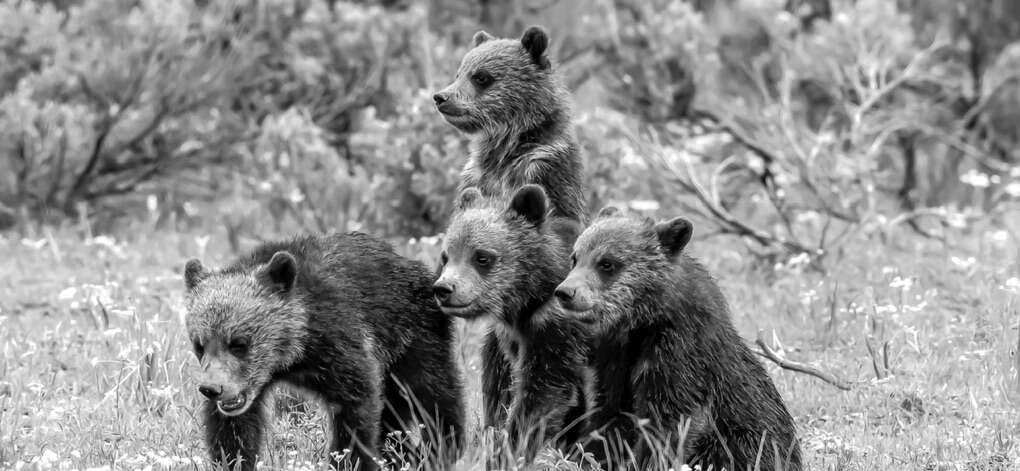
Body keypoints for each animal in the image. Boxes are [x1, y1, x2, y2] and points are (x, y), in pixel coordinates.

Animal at [183, 233, 465, 471]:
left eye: (239, 342)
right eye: (199, 344)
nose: (212, 389)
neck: (294, 353)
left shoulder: (343, 345)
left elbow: (355, 410)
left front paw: (350, 460)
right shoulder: (249, 388)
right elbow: (234, 431)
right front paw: (232, 459)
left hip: (413, 332)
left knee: (432, 391)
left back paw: (442, 448)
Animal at [431, 184, 592, 464]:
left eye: (482, 257)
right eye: (446, 255)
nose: (444, 288)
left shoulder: (556, 327)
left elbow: (543, 393)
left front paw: (509, 450)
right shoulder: (516, 337)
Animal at [555, 208, 802, 471]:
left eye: (606, 262)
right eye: (575, 257)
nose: (565, 292)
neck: (640, 324)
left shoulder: (680, 359)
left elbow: (670, 424)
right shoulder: (615, 362)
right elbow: (608, 418)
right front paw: (582, 456)